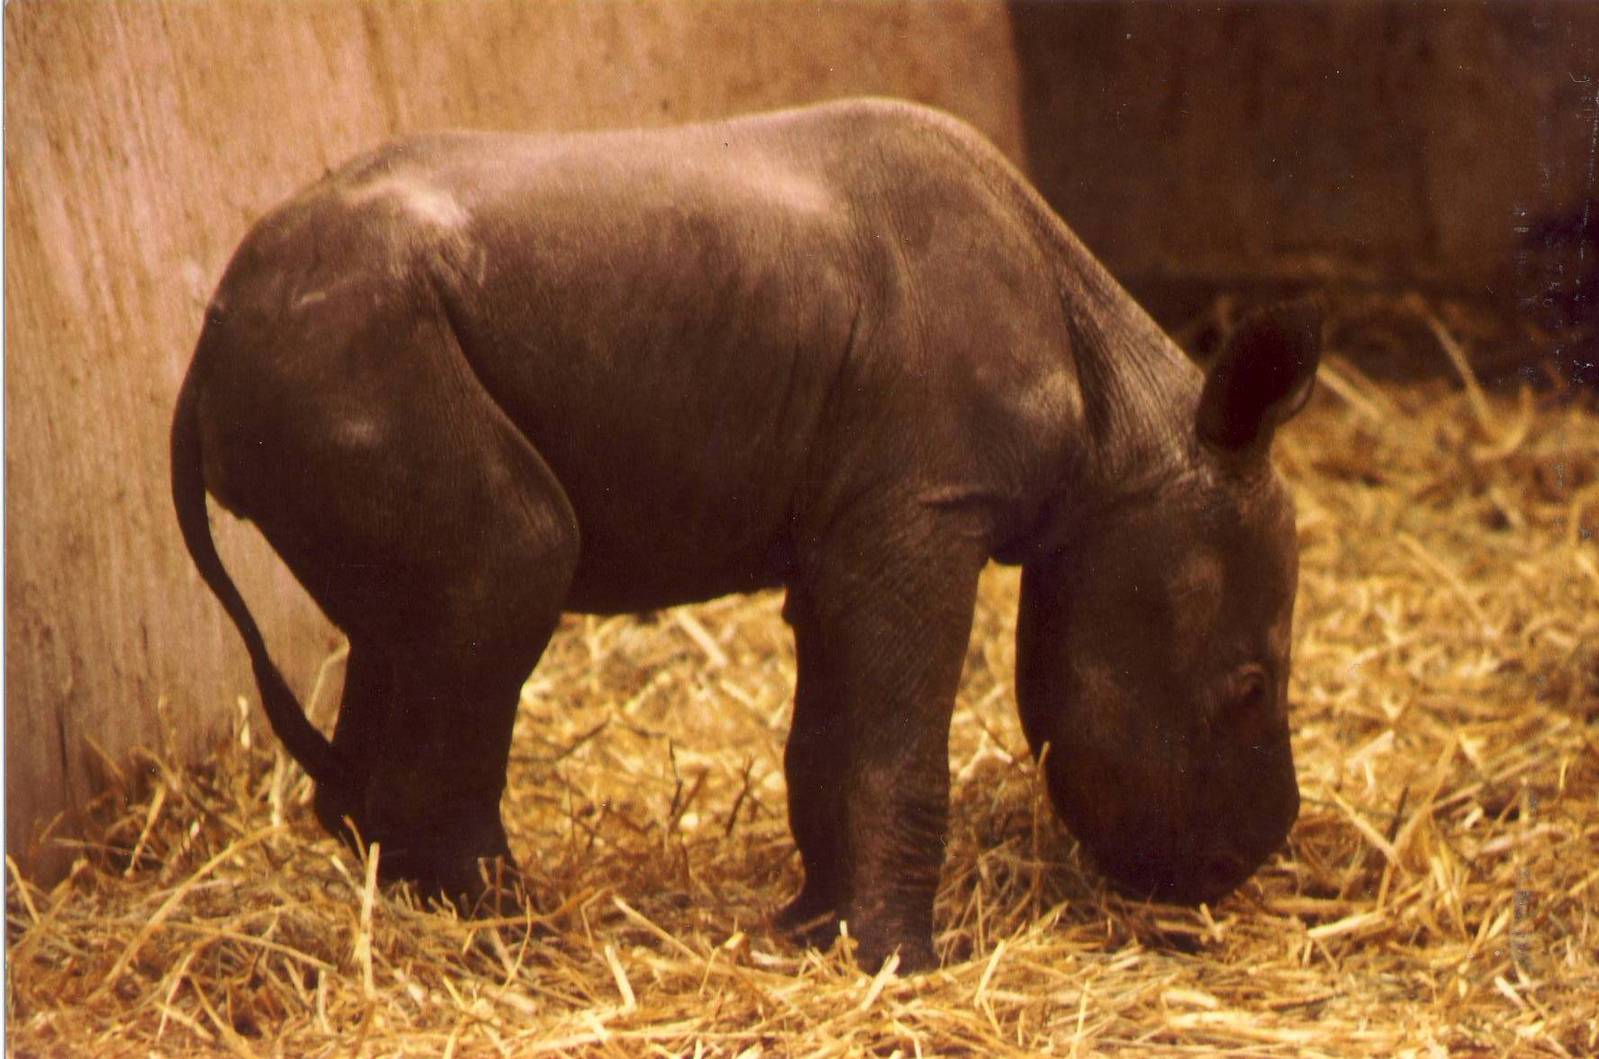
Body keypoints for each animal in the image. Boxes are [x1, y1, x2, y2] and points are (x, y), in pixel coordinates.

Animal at [171, 98, 1319, 972]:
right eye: (1249, 688)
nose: (1241, 863)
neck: (1125, 441)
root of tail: (204, 352)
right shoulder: (927, 503)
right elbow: (898, 742)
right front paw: (904, 965)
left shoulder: (850, 521)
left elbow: (828, 738)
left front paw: (813, 933)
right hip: (350, 355)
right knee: (510, 564)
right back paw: (514, 937)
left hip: (332, 360)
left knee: (406, 629)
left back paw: (424, 908)